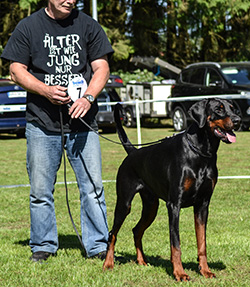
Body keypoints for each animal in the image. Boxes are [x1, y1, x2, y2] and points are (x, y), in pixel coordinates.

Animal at [102, 98, 241, 282]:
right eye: (218, 109)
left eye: (233, 108)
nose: (238, 121)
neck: (201, 152)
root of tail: (132, 152)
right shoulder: (174, 205)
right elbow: (176, 244)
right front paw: (179, 273)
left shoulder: (203, 205)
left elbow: (202, 242)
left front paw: (205, 270)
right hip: (124, 203)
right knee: (112, 233)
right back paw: (108, 264)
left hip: (151, 206)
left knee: (137, 230)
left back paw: (142, 261)